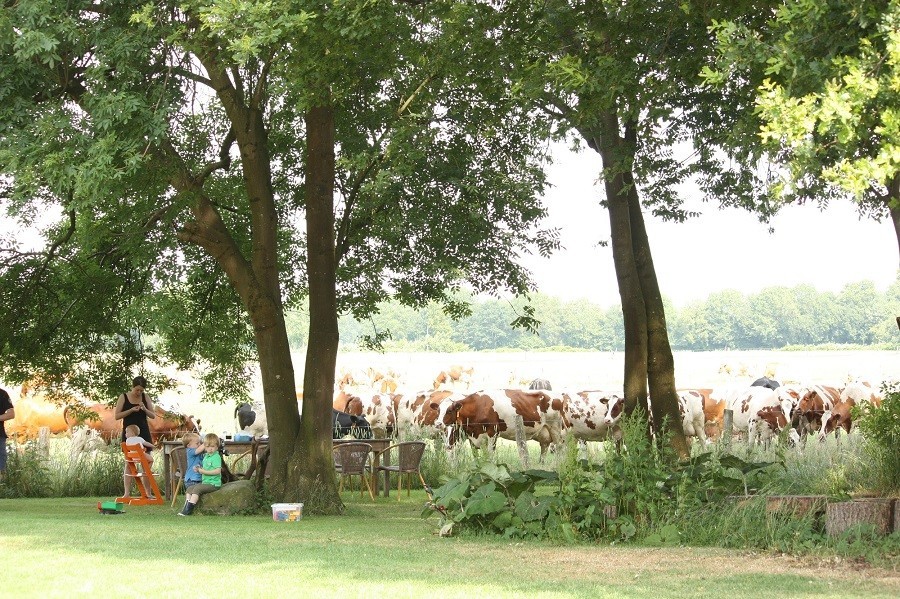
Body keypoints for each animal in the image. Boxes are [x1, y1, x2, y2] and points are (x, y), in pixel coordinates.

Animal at [431, 389, 565, 461]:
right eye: (438, 411)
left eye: (449, 411)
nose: (438, 423)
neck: (478, 407)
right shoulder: (473, 436)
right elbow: (477, 456)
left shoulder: (493, 432)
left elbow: (490, 454)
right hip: (544, 432)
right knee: (545, 447)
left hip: (555, 427)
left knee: (559, 447)